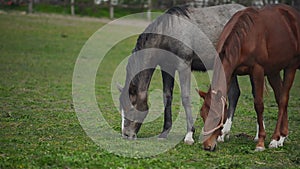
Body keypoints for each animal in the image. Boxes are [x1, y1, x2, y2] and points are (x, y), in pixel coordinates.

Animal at [118, 3, 245, 144]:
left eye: (130, 108)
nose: (126, 135)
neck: (168, 33)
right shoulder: (167, 68)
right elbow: (167, 97)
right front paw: (164, 132)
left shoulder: (184, 66)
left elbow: (185, 97)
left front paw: (189, 135)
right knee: (234, 94)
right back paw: (224, 134)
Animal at [199, 4, 300, 152]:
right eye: (202, 114)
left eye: (217, 116)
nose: (207, 146)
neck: (244, 38)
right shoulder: (233, 72)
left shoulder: (257, 71)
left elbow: (258, 104)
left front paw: (261, 142)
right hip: (273, 71)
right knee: (280, 96)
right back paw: (281, 137)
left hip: (291, 67)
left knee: (283, 100)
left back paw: (275, 139)